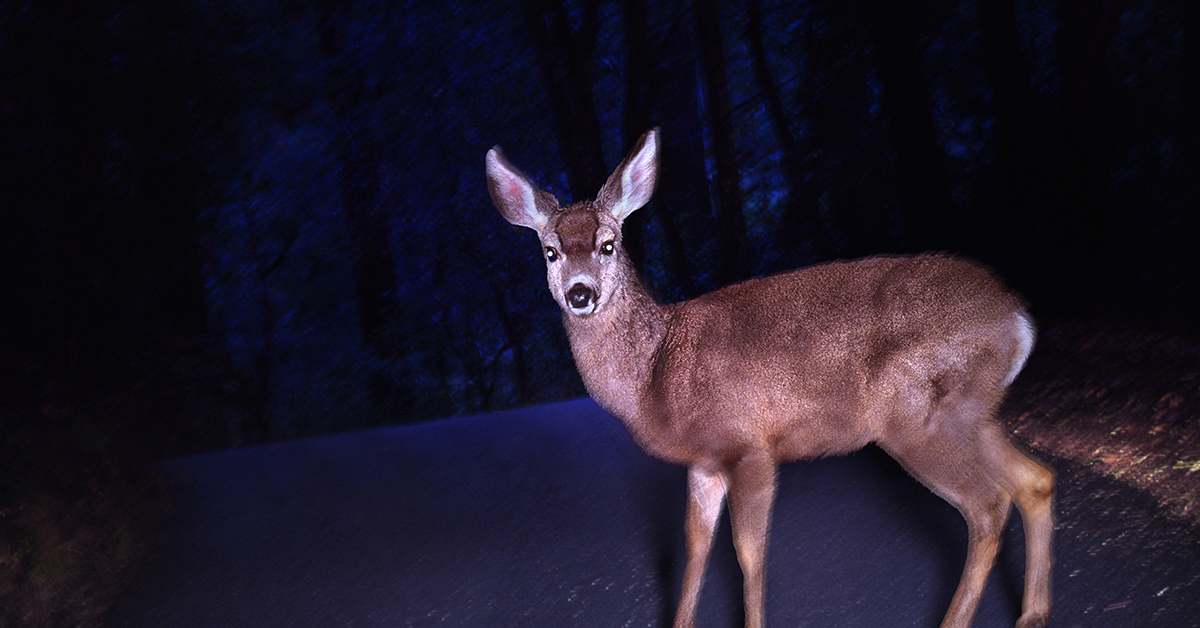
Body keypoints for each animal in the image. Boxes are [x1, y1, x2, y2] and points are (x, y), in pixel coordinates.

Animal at [482, 127, 1056, 628]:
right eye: (550, 251)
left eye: (608, 244)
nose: (580, 293)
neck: (657, 371)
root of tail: (1017, 318)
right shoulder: (704, 463)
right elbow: (695, 547)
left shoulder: (750, 445)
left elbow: (748, 552)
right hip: (972, 414)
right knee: (1034, 480)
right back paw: (1032, 614)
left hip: (919, 418)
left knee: (988, 506)